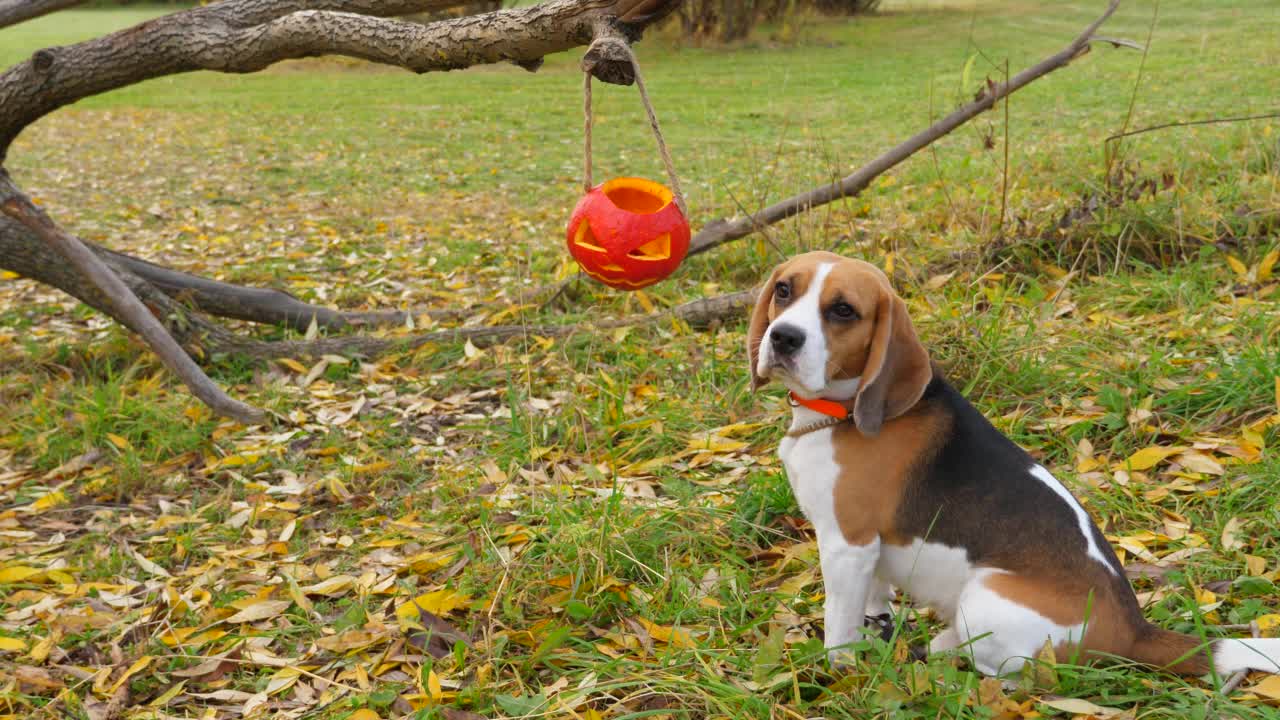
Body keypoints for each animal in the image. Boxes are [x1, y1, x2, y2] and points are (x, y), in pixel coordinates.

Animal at [747, 251, 1280, 671]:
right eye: (784, 290)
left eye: (843, 310)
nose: (783, 338)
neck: (832, 413)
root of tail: (1134, 630)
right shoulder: (866, 551)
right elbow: (875, 597)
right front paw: (878, 628)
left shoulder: (847, 545)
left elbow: (839, 623)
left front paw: (838, 671)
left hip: (984, 595)